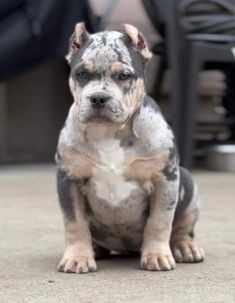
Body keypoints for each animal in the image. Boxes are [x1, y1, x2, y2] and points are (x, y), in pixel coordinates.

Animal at [55, 23, 204, 274]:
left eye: (124, 76)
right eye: (81, 74)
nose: (98, 98)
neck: (108, 133)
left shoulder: (165, 179)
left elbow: (159, 221)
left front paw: (156, 255)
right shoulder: (69, 179)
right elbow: (74, 223)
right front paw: (77, 257)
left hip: (189, 187)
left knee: (182, 228)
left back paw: (184, 247)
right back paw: (95, 250)